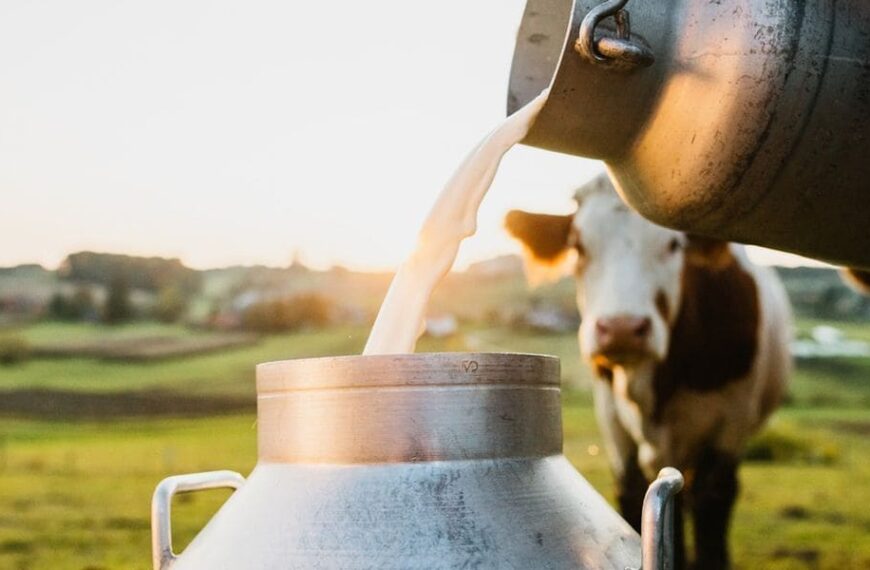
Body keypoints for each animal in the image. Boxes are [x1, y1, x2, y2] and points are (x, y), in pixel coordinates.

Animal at [504, 173, 796, 568]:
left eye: (673, 245)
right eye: (578, 246)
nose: (622, 328)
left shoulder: (731, 424)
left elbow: (711, 505)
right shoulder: (612, 419)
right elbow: (631, 494)